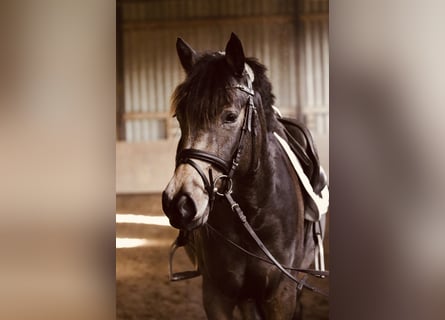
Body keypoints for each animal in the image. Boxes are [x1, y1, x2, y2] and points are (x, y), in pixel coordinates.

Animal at [161, 33, 324, 320]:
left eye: (230, 116)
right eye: (180, 117)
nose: (179, 203)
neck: (253, 212)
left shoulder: (281, 295)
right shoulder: (216, 295)